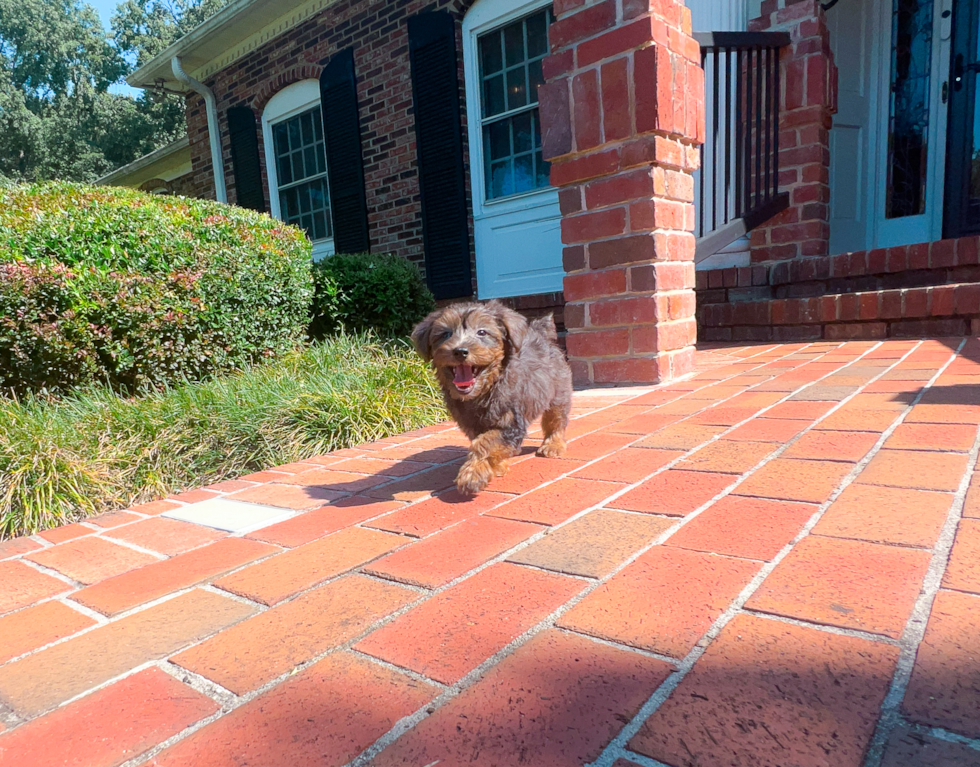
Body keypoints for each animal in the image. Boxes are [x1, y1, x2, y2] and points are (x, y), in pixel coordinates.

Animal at [412, 296, 576, 496]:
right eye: (445, 334)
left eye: (482, 332)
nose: (460, 351)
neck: (485, 389)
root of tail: (541, 333)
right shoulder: (472, 425)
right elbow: (484, 442)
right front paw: (496, 466)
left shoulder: (510, 423)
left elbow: (485, 443)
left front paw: (472, 475)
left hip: (558, 393)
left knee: (556, 420)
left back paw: (553, 445)